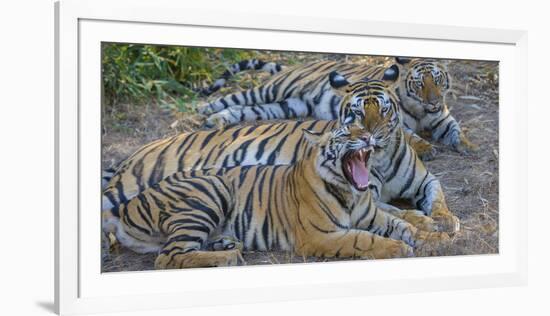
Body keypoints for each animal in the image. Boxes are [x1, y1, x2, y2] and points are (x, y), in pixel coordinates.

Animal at [103, 126, 452, 270]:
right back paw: (228, 258)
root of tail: (125, 207)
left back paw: (226, 246)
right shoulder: (319, 236)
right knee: (168, 257)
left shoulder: (375, 215)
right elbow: (362, 239)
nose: (368, 137)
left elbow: (404, 225)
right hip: (209, 189)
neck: (350, 192)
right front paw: (397, 249)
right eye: (345, 133)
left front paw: (435, 237)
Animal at [104, 74, 462, 232]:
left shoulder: (426, 181)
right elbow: (398, 211)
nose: (370, 136)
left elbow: (439, 198)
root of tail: (135, 152)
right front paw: (423, 220)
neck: (383, 159)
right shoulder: (366, 197)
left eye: (384, 110)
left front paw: (447, 219)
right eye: (358, 113)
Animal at [199, 57, 478, 156]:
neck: (422, 111)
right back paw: (206, 110)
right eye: (420, 83)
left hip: (287, 106)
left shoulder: (443, 119)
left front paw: (467, 146)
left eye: (438, 80)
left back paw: (217, 120)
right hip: (272, 90)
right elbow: (412, 137)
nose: (434, 101)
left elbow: (456, 130)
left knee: (243, 110)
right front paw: (426, 148)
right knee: (235, 97)